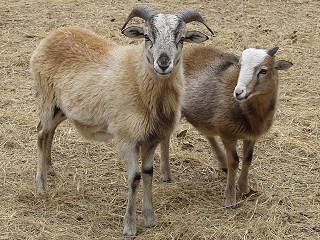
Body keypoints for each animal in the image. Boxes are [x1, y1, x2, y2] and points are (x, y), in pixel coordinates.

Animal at [28, 4, 214, 236]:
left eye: (181, 38)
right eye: (147, 36)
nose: (163, 63)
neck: (139, 81)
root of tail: (53, 35)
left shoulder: (152, 139)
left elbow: (148, 173)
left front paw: (150, 218)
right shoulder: (127, 138)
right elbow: (134, 178)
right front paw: (129, 226)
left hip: (62, 108)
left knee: (49, 133)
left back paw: (51, 169)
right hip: (46, 99)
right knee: (41, 134)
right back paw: (41, 187)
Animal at [160, 45, 292, 208]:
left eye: (263, 70)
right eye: (239, 66)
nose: (238, 92)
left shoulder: (250, 135)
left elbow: (248, 159)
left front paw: (244, 188)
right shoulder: (228, 133)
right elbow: (234, 162)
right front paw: (230, 199)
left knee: (206, 132)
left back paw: (222, 163)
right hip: (172, 106)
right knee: (165, 136)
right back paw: (166, 174)